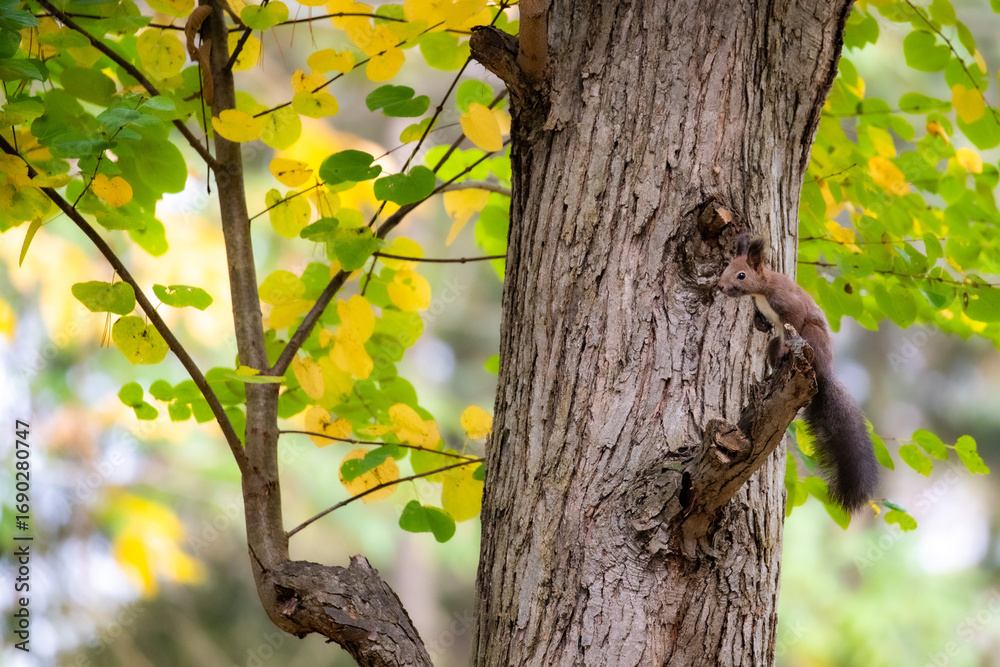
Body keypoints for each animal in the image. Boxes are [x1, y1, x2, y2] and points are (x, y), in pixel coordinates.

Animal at [718, 234, 879, 513]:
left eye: (741, 275)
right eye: (726, 267)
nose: (720, 286)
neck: (762, 289)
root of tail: (825, 372)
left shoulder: (788, 303)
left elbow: (795, 316)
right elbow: (764, 324)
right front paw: (759, 323)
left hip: (812, 338)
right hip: (775, 346)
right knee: (774, 347)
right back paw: (773, 371)